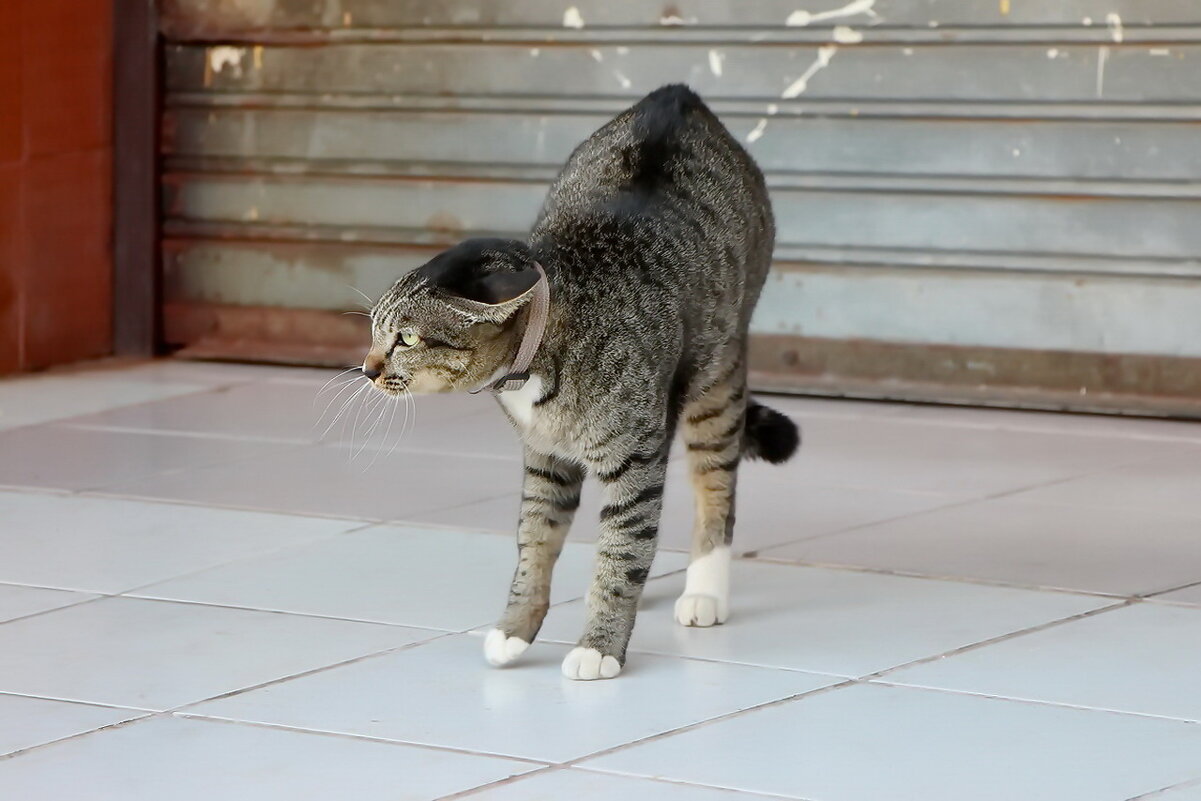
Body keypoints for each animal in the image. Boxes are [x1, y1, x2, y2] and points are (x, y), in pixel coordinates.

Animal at [360, 84, 802, 682]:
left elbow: (622, 553)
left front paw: (599, 646)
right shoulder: (544, 457)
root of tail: (678, 95)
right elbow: (535, 541)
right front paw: (514, 629)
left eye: (404, 338)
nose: (367, 369)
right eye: (374, 330)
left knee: (715, 483)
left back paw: (705, 590)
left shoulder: (634, 458)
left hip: (719, 372)